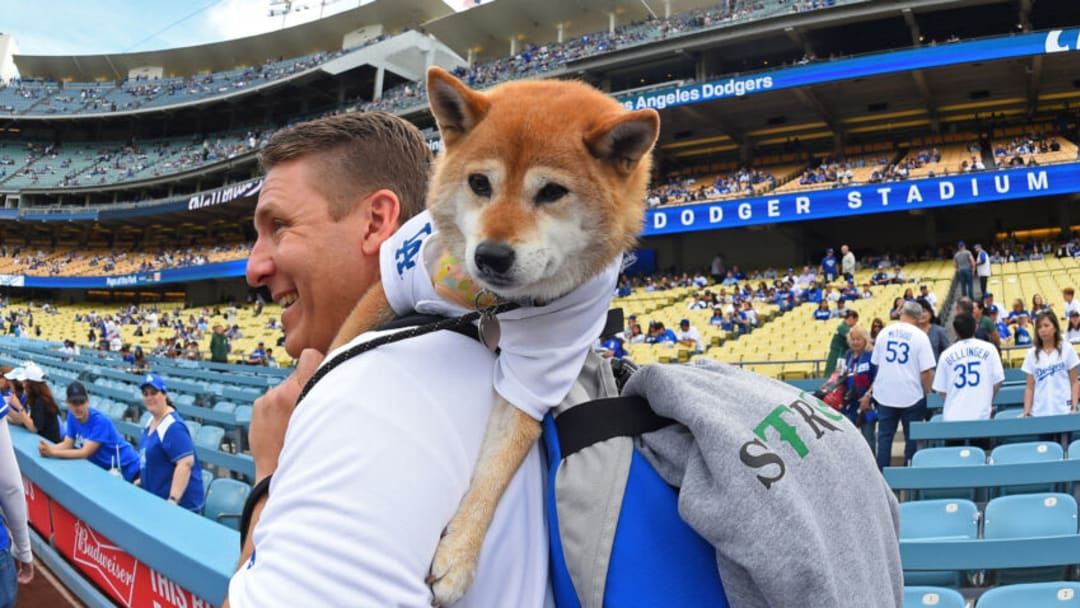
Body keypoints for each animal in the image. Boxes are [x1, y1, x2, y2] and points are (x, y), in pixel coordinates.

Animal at [332, 66, 660, 604]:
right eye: (480, 183)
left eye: (551, 192)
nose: (490, 255)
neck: (487, 305)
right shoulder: (392, 280)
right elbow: (338, 346)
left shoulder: (540, 369)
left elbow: (499, 464)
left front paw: (460, 556)